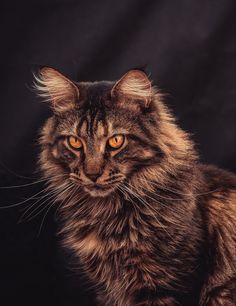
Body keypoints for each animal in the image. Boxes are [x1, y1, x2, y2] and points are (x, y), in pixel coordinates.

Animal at [35, 67, 236, 306]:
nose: (92, 174)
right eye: (75, 142)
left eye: (116, 141)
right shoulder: (107, 289)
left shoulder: (171, 285)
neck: (108, 215)